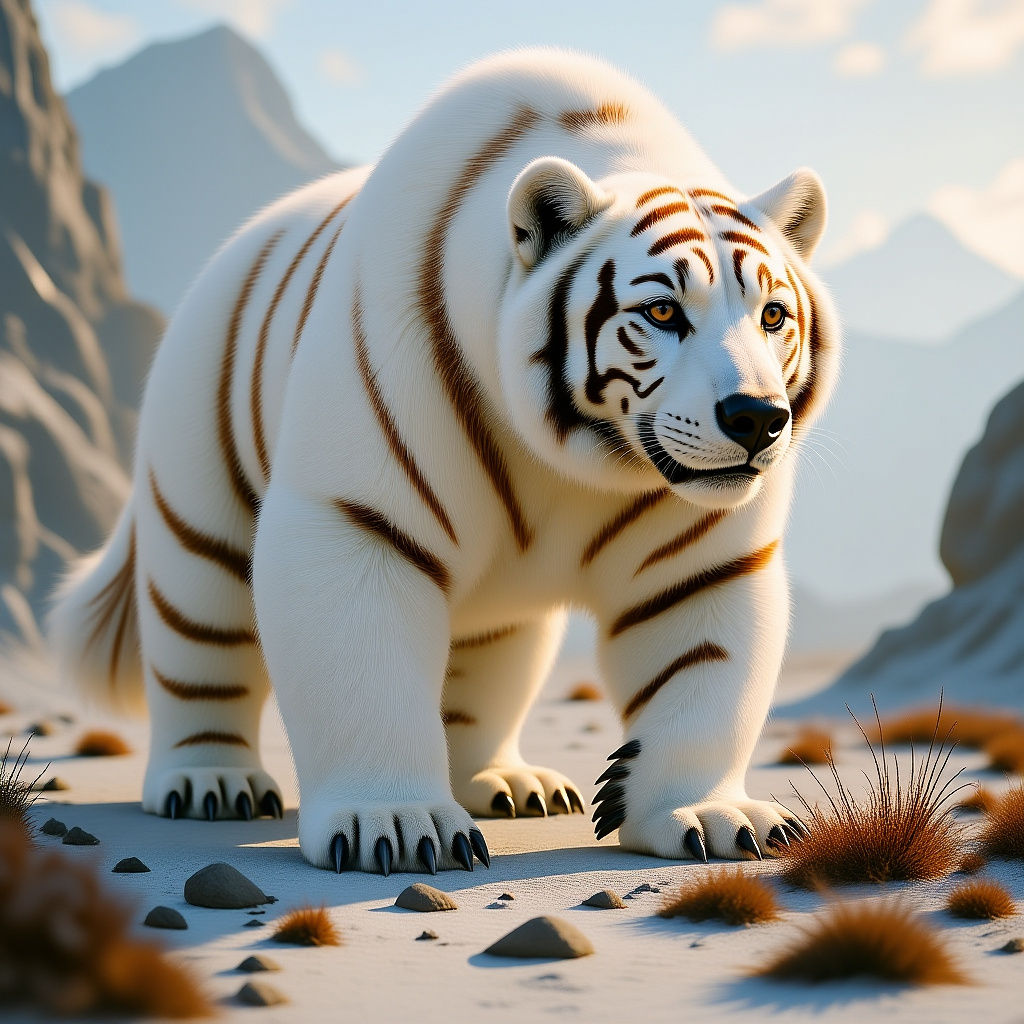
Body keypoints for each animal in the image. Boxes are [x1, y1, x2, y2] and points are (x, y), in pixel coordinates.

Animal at [49, 48, 839, 875]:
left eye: (772, 315)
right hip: (195, 497)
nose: (755, 418)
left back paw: (509, 784)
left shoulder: (704, 557)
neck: (573, 457)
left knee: (487, 672)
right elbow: (363, 671)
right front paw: (394, 826)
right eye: (661, 312)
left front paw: (711, 816)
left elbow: (705, 673)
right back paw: (211, 783)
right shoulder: (356, 519)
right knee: (201, 642)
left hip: (503, 615)